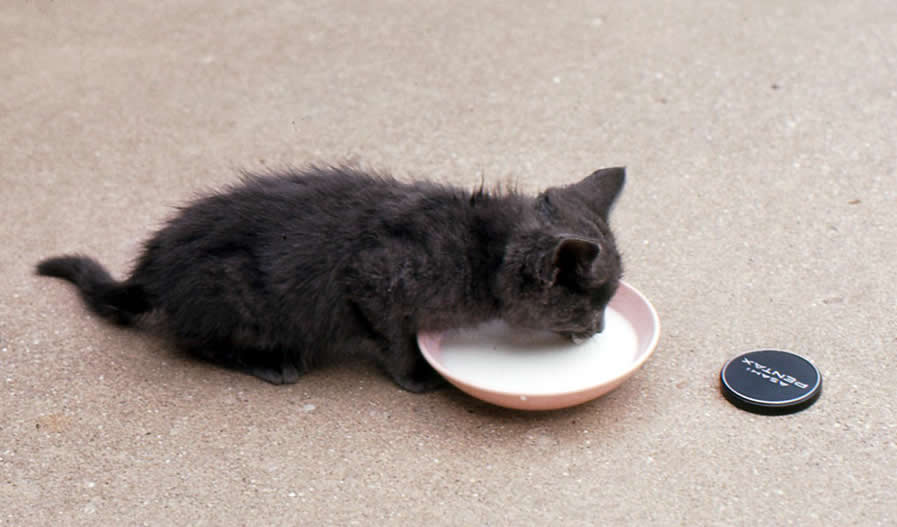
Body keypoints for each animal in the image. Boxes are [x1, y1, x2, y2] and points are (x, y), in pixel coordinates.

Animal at [35, 165, 624, 392]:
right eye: (589, 305)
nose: (599, 329)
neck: (483, 248)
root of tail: (153, 263)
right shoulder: (372, 277)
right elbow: (395, 337)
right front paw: (415, 375)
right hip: (237, 295)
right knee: (195, 342)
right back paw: (272, 362)